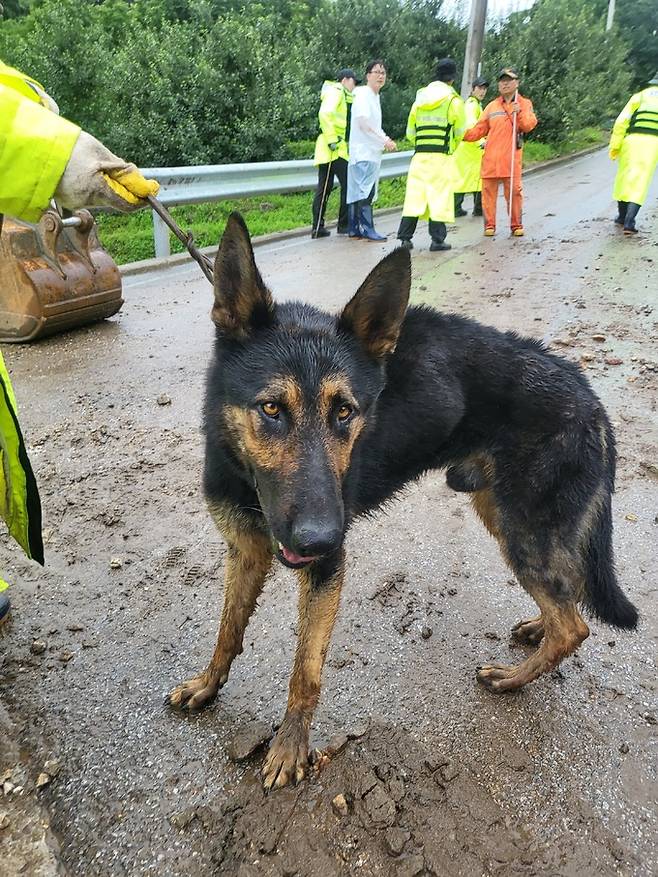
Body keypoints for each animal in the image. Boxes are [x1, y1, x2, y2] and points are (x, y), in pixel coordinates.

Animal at [169, 216, 636, 792]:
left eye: (345, 412)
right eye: (272, 408)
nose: (320, 537)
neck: (245, 475)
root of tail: (591, 398)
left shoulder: (326, 570)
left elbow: (305, 668)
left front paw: (291, 745)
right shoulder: (247, 552)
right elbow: (227, 631)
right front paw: (209, 684)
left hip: (522, 527)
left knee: (575, 623)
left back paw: (514, 678)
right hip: (504, 516)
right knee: (566, 594)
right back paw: (536, 627)